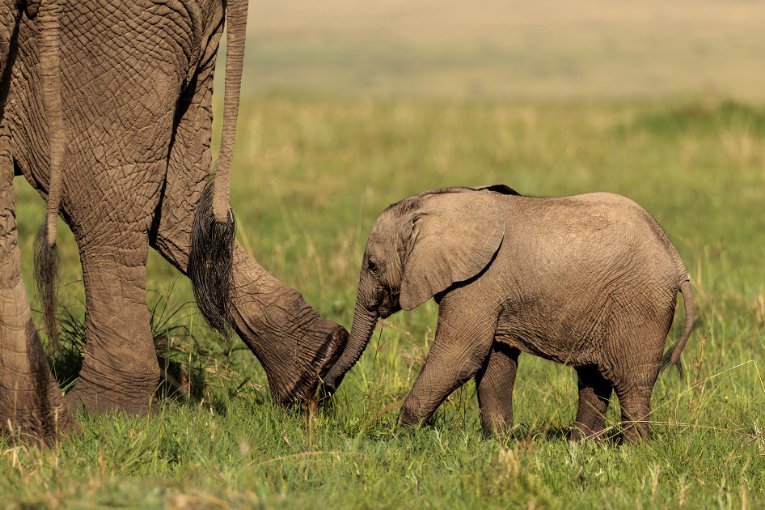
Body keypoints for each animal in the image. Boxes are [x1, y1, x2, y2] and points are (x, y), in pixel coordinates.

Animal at [322, 185, 694, 441]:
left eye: (372, 265)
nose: (323, 394)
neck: (439, 205)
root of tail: (676, 260)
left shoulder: (478, 283)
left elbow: (462, 355)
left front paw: (400, 436)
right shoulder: (489, 291)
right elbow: (495, 363)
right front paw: (497, 442)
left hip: (639, 305)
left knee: (632, 383)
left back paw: (633, 450)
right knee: (594, 378)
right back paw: (581, 447)